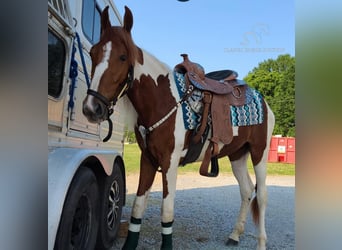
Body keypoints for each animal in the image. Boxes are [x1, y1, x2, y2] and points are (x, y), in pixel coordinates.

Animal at [82, 5, 276, 250]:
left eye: (122, 57)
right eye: (93, 53)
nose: (92, 107)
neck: (163, 100)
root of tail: (263, 101)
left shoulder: (170, 163)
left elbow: (167, 211)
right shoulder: (148, 160)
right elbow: (138, 207)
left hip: (259, 152)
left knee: (262, 196)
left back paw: (260, 242)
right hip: (237, 155)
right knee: (246, 190)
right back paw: (234, 235)